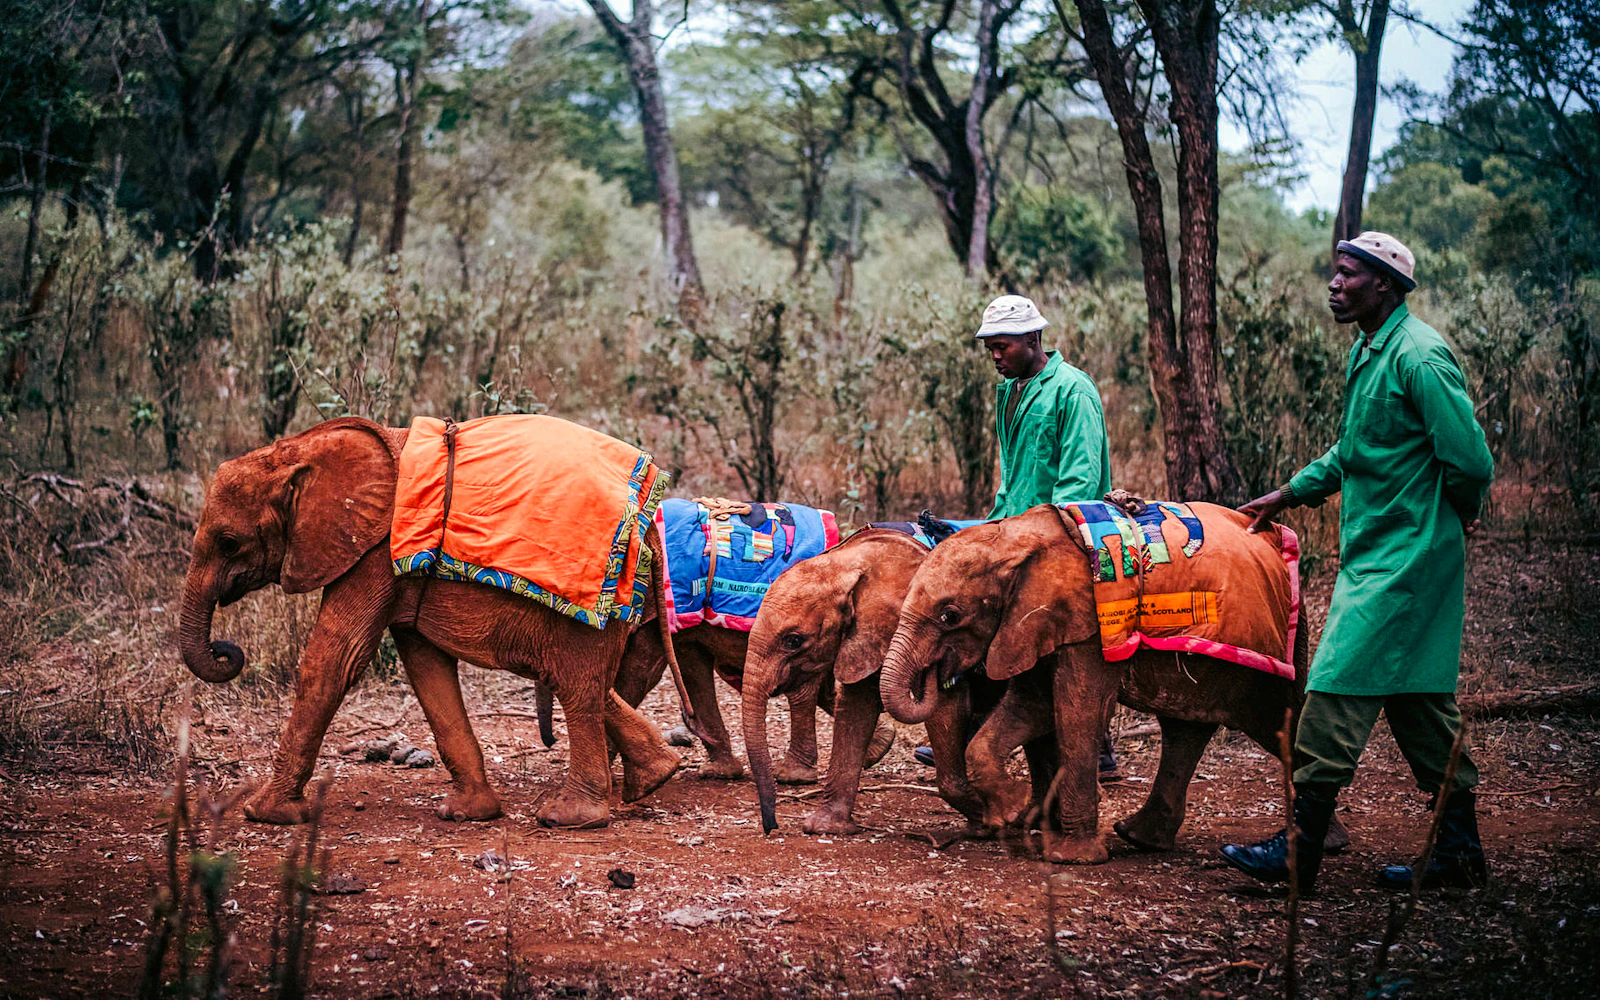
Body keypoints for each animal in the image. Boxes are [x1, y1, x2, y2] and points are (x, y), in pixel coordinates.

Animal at [177, 417, 686, 830]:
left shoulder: (372, 553)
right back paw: (655, 778)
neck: (300, 449)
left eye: (228, 542)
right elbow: (426, 667)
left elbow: (335, 660)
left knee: (576, 686)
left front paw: (265, 813)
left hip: (596, 602)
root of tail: (648, 526)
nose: (228, 651)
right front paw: (467, 813)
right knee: (581, 683)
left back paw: (570, 818)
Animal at [879, 504, 1348, 864]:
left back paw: (1321, 844)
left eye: (950, 615)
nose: (940, 674)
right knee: (1185, 729)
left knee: (1277, 720)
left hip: (1281, 645)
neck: (1012, 536)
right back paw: (1140, 838)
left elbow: (1076, 709)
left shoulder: (1086, 622)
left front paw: (1068, 854)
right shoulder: (1032, 623)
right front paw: (1011, 814)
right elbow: (1034, 703)